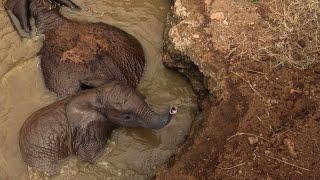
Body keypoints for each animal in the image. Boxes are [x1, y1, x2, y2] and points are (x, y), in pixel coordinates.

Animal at [19, 81, 178, 176]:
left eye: (144, 98)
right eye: (127, 117)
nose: (173, 109)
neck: (95, 94)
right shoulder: (89, 132)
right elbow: (88, 158)